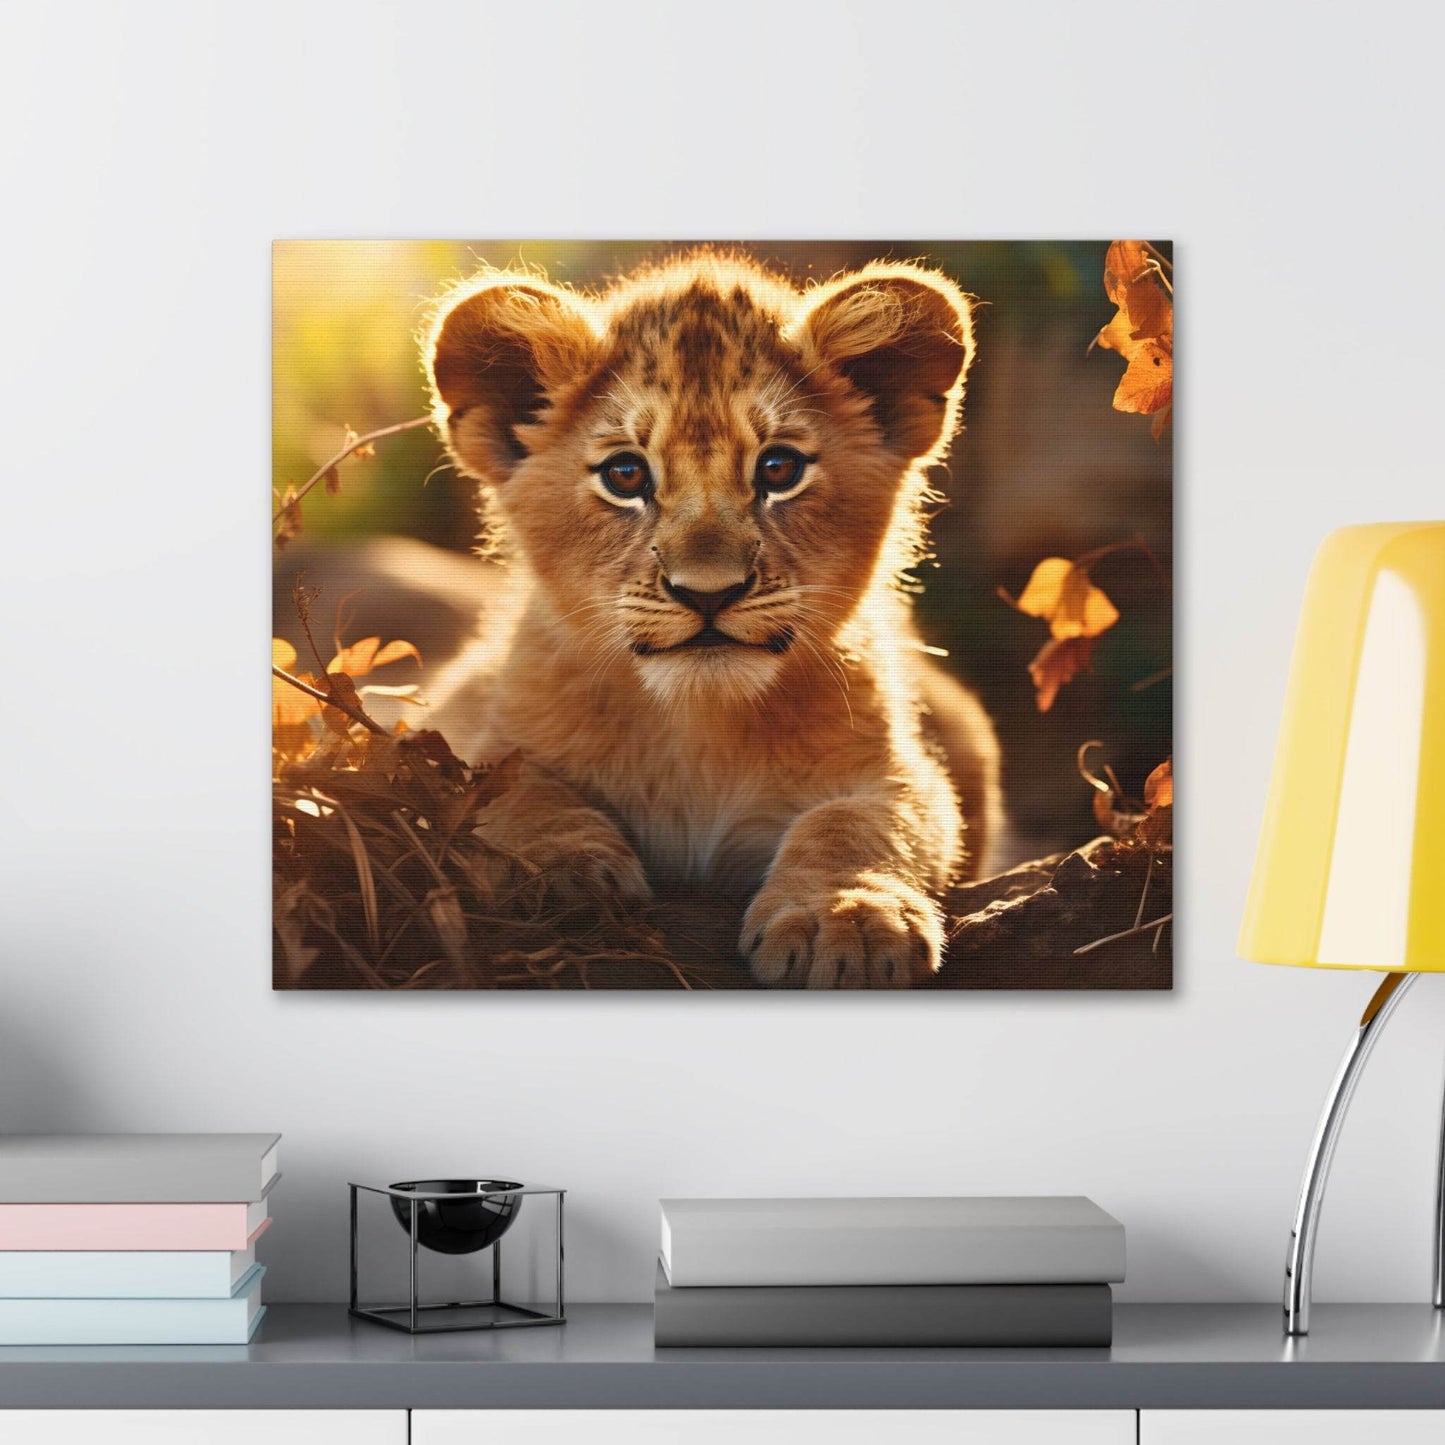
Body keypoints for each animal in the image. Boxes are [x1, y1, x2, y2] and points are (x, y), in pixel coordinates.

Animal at [421, 249, 1003, 988]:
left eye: (778, 468)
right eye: (625, 475)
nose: (707, 593)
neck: (697, 726)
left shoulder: (899, 769)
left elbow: (859, 822)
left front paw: (846, 917)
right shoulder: (469, 725)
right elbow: (512, 788)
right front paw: (557, 872)